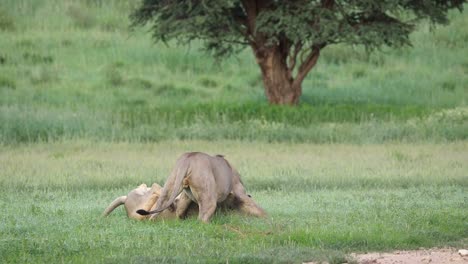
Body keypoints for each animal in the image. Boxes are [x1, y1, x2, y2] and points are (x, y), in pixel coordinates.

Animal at [104, 152, 266, 222]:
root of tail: (187, 160)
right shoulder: (239, 189)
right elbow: (258, 208)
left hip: (171, 183)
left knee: (159, 204)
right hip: (208, 196)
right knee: (202, 217)